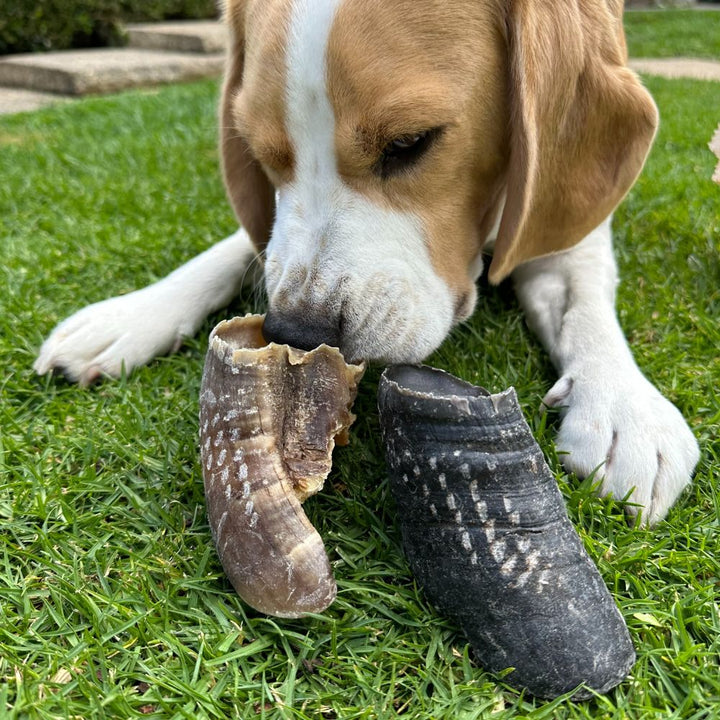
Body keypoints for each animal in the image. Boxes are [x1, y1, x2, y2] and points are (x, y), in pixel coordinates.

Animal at [35, 1, 696, 528]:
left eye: (409, 144)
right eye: (261, 153)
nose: (296, 332)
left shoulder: (567, 222)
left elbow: (584, 301)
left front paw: (622, 403)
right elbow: (243, 245)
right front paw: (131, 314)